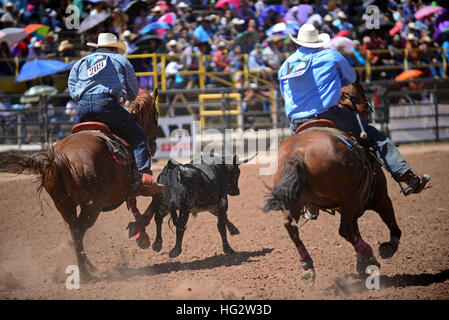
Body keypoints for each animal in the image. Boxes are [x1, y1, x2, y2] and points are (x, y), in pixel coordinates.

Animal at [0, 89, 159, 282]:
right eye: (156, 115)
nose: (154, 145)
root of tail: (59, 158)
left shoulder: (127, 193)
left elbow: (135, 207)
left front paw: (140, 234)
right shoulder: (135, 189)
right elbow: (150, 201)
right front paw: (142, 236)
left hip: (64, 204)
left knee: (74, 230)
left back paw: (86, 267)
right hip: (92, 207)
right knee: (78, 230)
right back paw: (85, 273)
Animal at [260, 80, 400, 282]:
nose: (367, 108)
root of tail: (296, 154)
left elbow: (357, 231)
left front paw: (363, 263)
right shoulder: (380, 196)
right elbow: (390, 223)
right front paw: (388, 248)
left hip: (294, 201)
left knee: (291, 226)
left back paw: (308, 266)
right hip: (349, 198)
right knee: (345, 230)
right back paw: (370, 254)